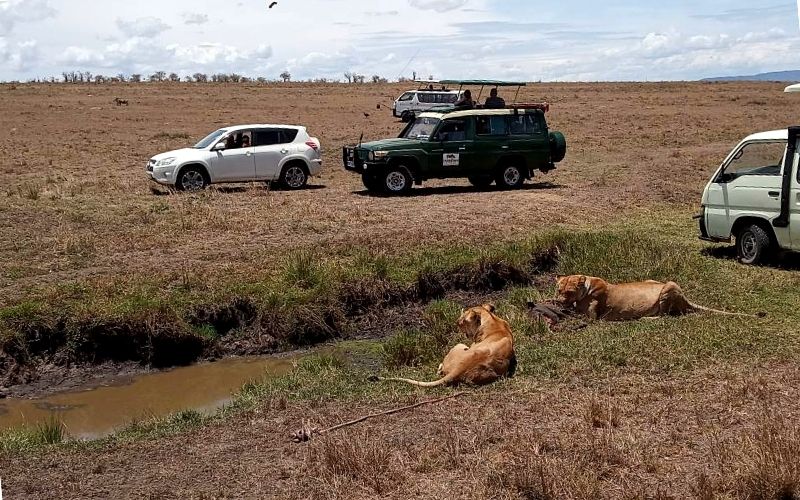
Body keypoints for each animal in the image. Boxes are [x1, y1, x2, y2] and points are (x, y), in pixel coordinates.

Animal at [372, 304, 516, 387]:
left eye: (462, 321)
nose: (456, 322)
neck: (492, 318)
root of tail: (458, 369)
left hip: (458, 345)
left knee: (441, 369)